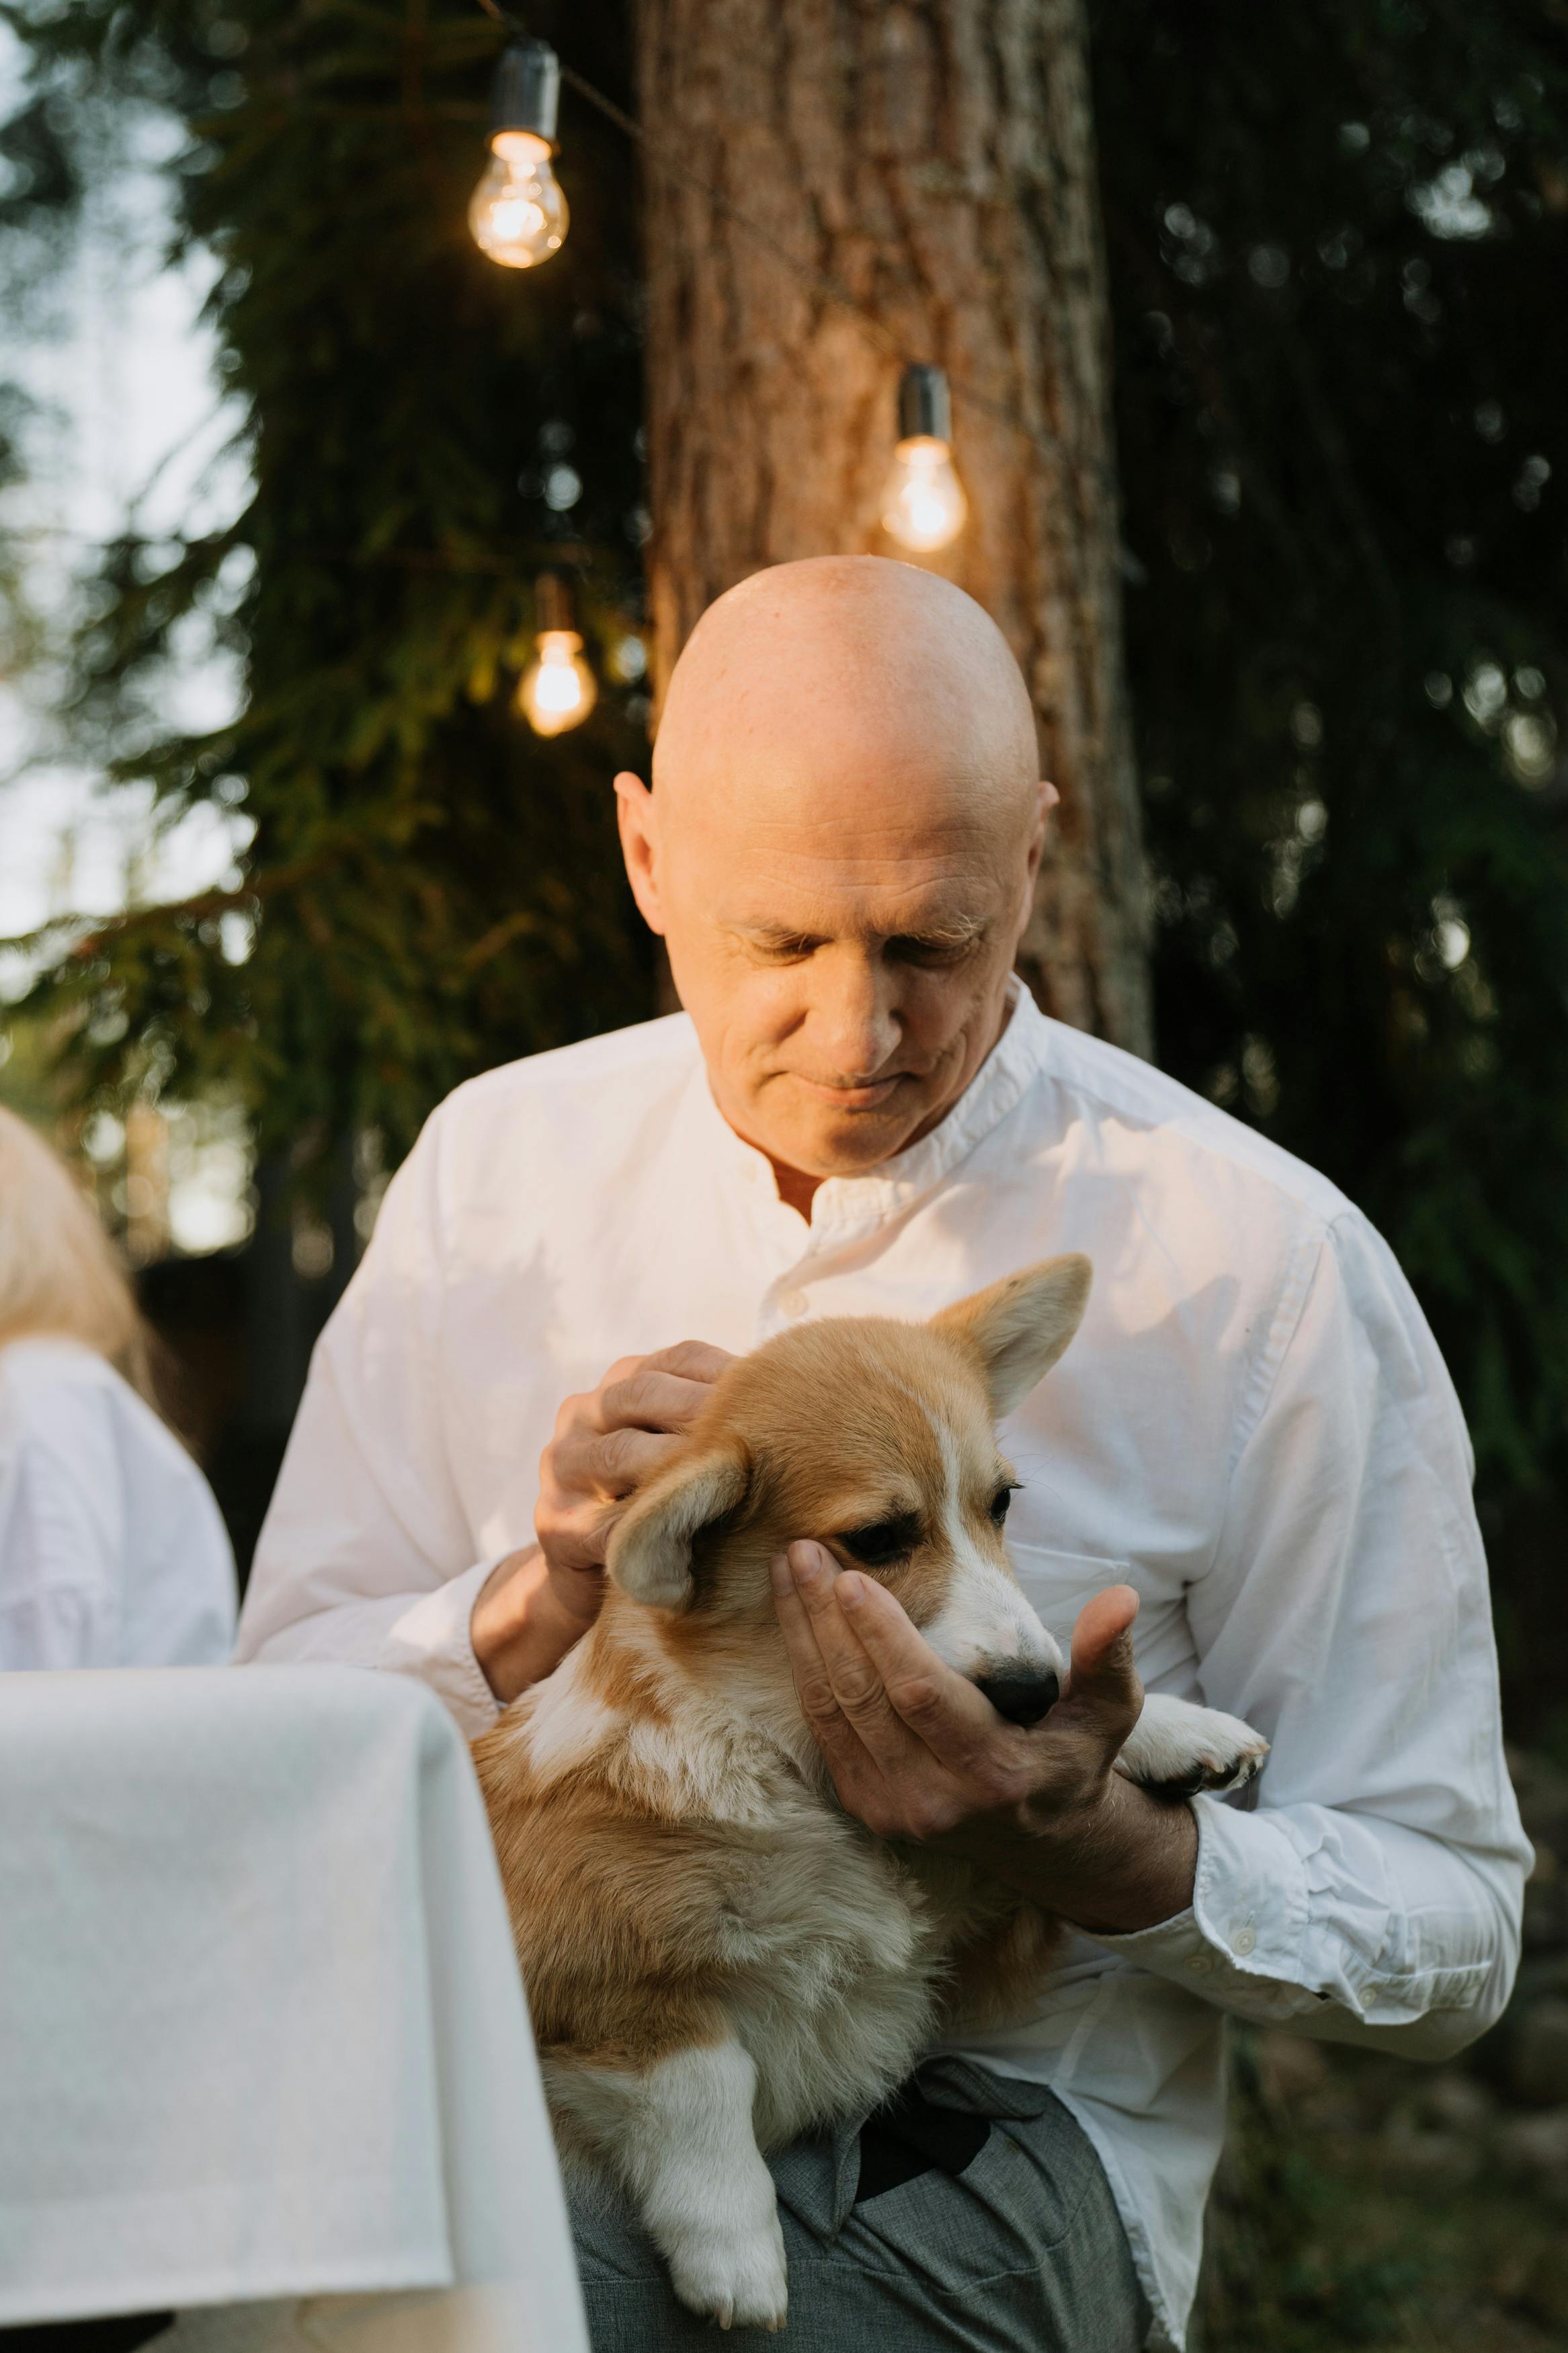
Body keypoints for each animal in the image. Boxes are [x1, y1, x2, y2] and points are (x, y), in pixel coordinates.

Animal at [472, 1261, 1269, 2325]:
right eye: (882, 1537)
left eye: (1001, 1503)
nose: (1026, 1695)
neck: (785, 1756)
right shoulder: (586, 1972)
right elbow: (702, 2078)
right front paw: (737, 2254)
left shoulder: (980, 1918)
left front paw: (1177, 1729)